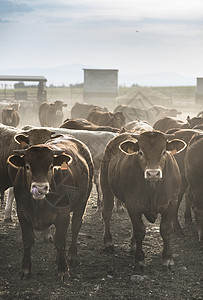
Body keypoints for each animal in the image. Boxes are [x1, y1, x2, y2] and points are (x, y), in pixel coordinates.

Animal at [7, 135, 93, 280]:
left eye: (51, 166)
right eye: (27, 166)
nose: (40, 187)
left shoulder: (63, 214)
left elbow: (60, 241)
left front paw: (63, 269)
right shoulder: (22, 213)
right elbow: (27, 240)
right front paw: (25, 269)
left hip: (82, 202)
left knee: (76, 226)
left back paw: (72, 256)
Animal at [100, 131, 186, 268]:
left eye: (164, 152)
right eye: (140, 152)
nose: (153, 173)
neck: (153, 188)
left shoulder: (172, 202)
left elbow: (166, 230)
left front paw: (168, 258)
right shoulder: (133, 203)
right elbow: (140, 231)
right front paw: (139, 259)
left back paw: (133, 245)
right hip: (105, 184)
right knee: (107, 213)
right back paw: (108, 242)